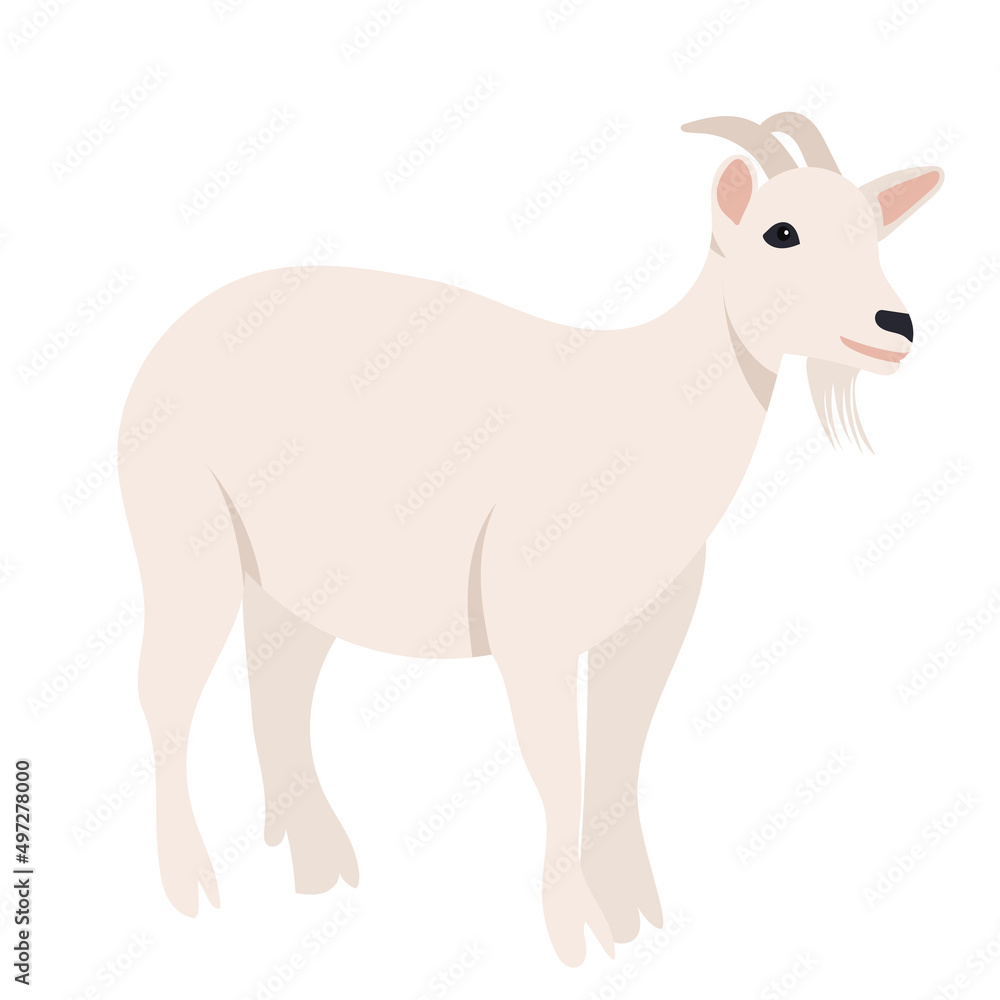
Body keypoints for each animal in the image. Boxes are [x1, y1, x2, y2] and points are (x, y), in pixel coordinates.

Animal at [119, 112, 943, 965]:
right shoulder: (529, 619)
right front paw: (576, 934)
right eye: (781, 231)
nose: (896, 327)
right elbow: (557, 764)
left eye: (874, 229)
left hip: (295, 577)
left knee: (276, 681)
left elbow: (619, 755)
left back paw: (318, 864)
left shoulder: (652, 620)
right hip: (183, 534)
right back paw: (190, 887)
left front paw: (638, 920)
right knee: (164, 688)